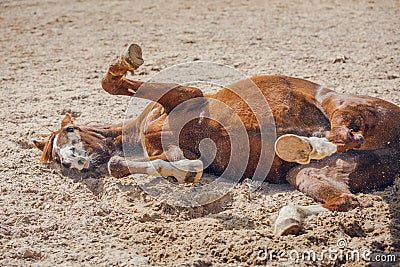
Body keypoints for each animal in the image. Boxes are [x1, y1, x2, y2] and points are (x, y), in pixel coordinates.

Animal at [35, 44, 400, 237]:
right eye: (58, 160)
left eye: (70, 131)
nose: (74, 161)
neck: (141, 132)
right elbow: (132, 166)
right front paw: (181, 172)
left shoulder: (187, 96)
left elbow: (111, 84)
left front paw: (125, 62)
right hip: (309, 173)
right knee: (344, 200)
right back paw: (289, 214)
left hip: (339, 104)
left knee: (343, 132)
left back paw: (310, 143)